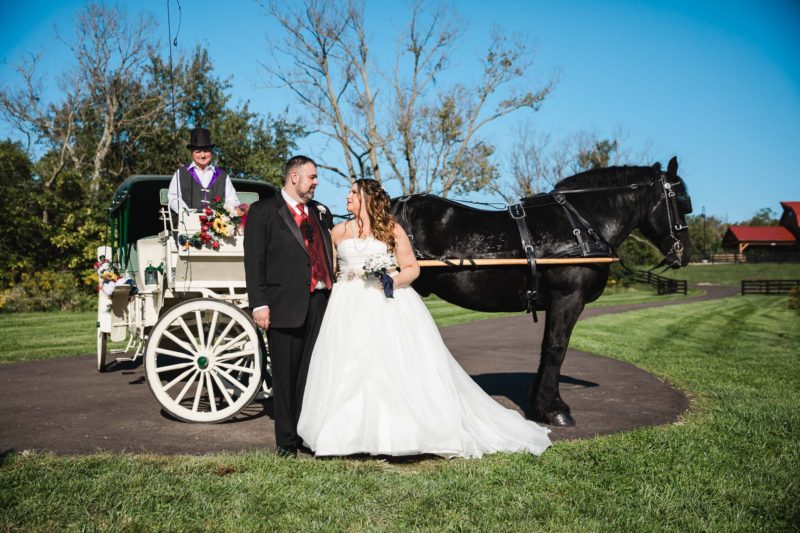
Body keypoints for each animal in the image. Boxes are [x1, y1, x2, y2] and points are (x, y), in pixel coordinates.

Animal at [390, 157, 693, 426]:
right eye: (681, 202)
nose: (685, 253)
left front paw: (539, 405)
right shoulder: (568, 297)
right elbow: (556, 348)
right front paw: (554, 409)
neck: (582, 223)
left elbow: (548, 347)